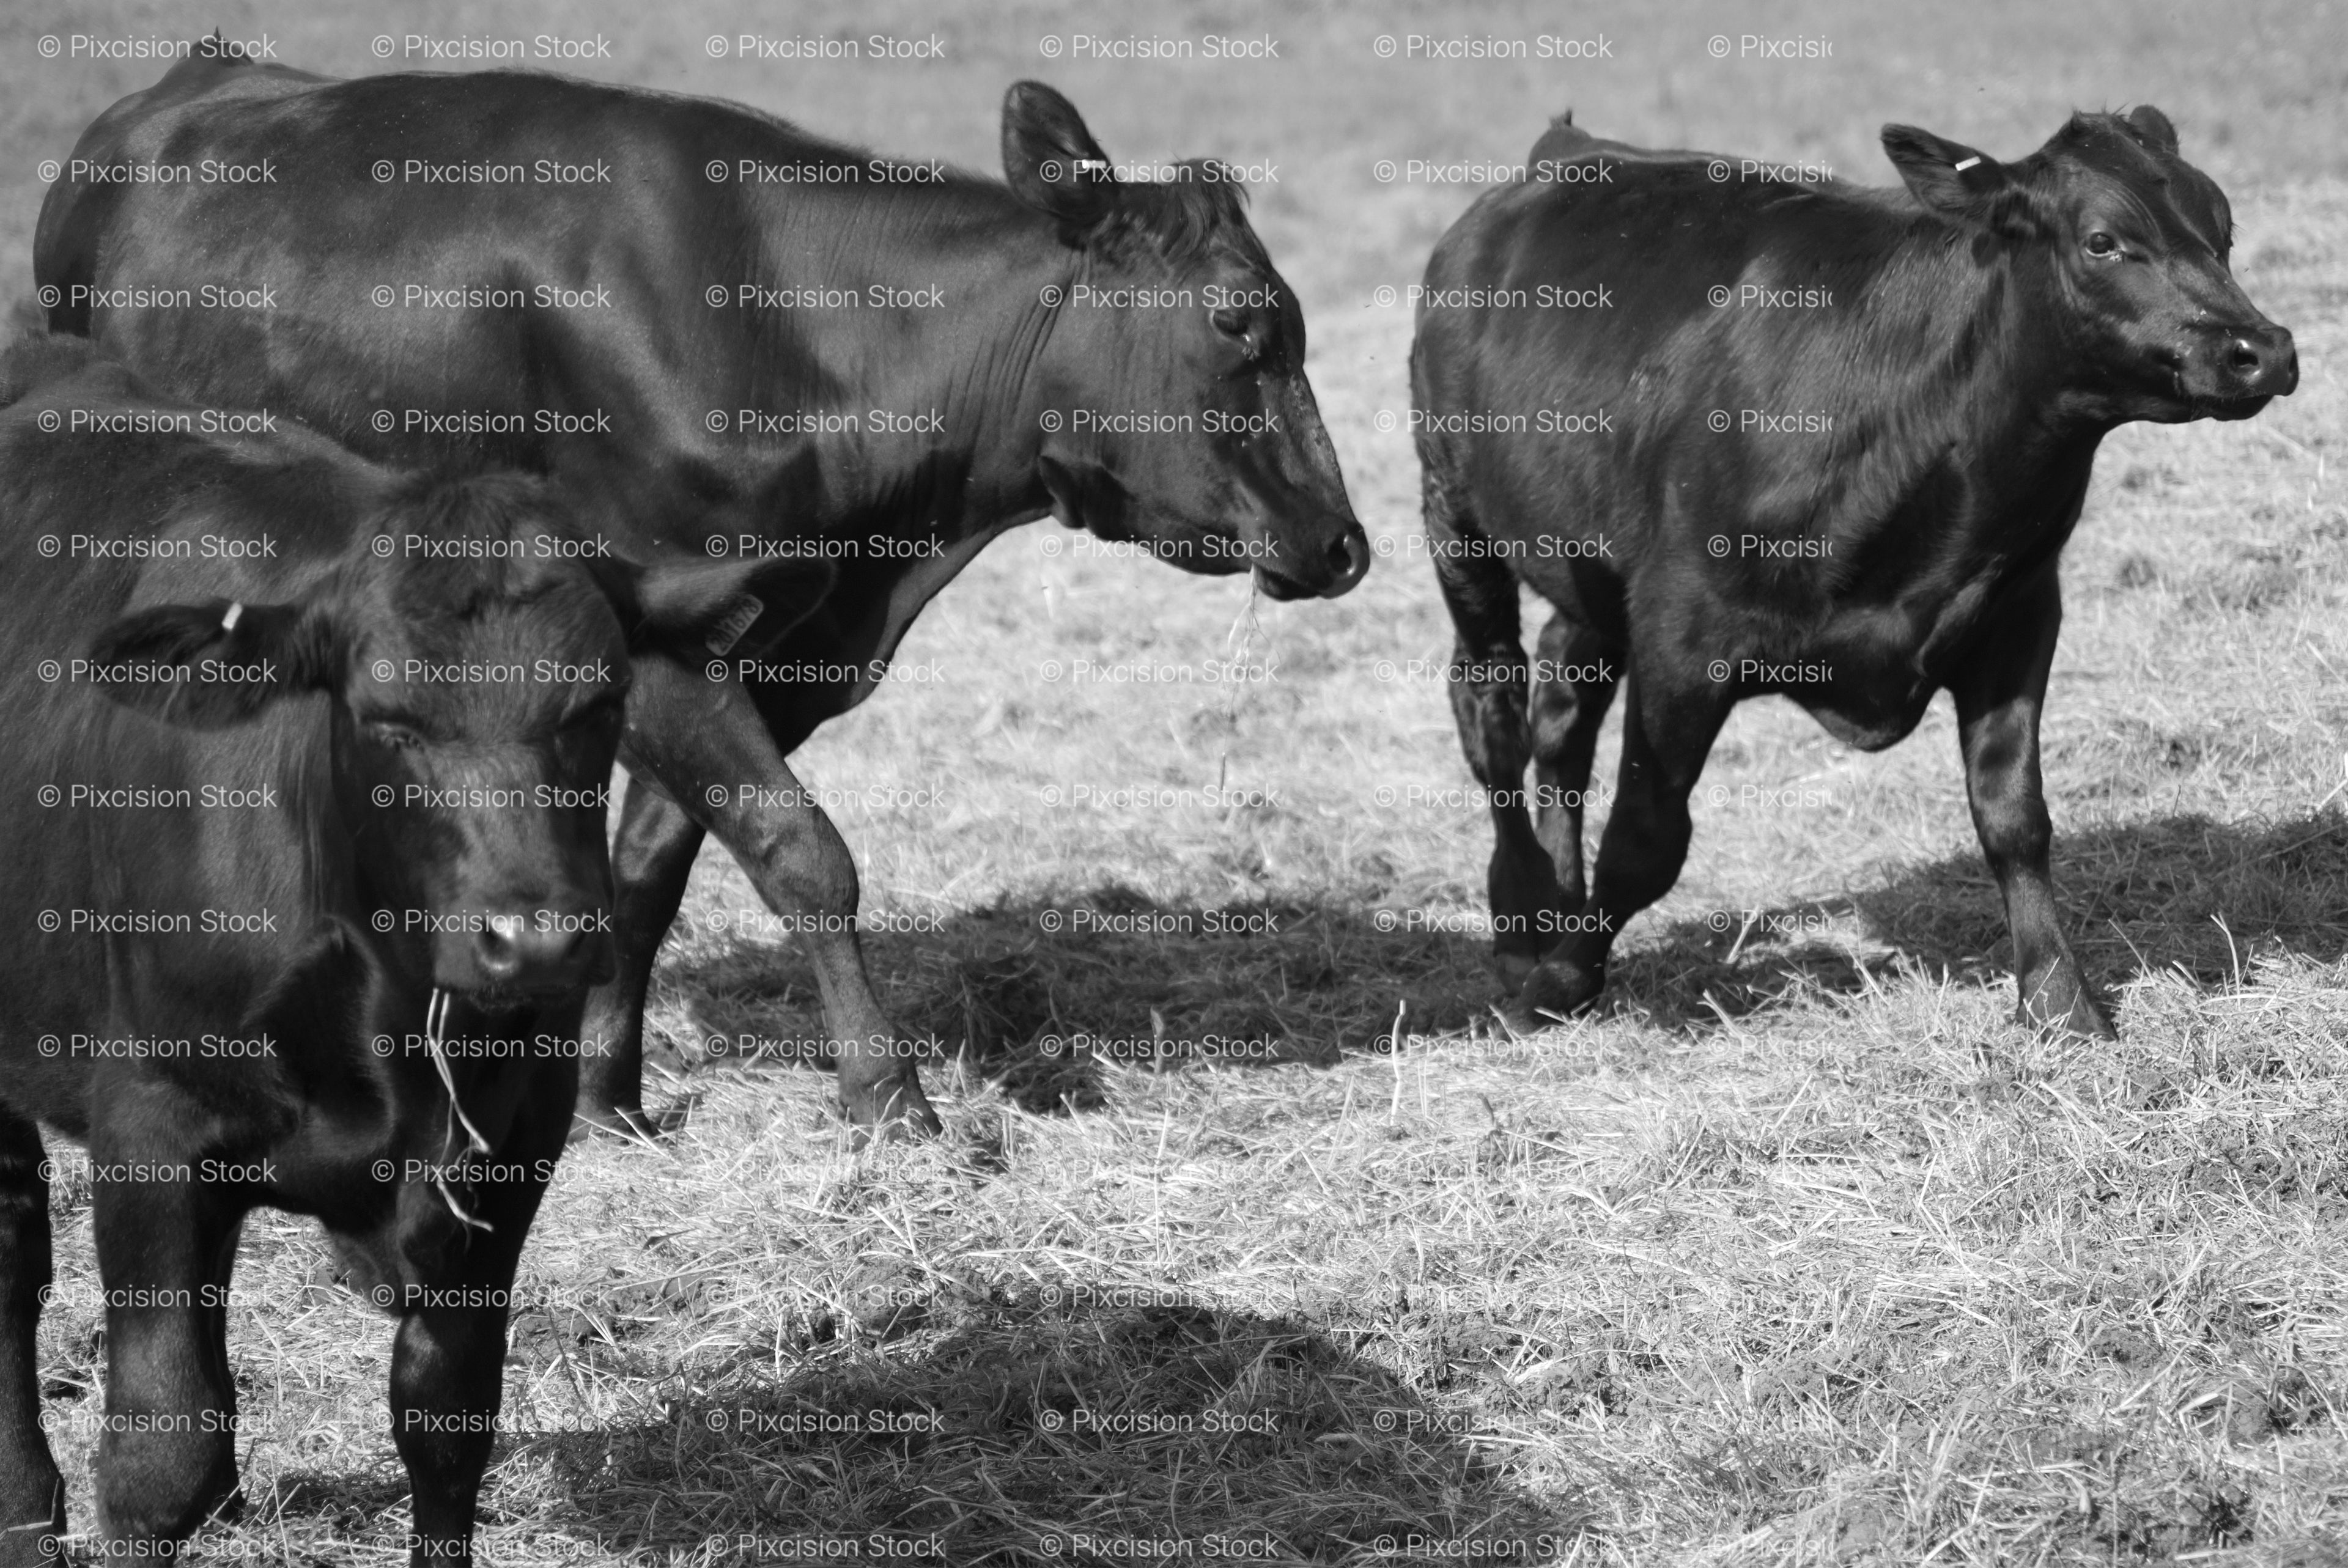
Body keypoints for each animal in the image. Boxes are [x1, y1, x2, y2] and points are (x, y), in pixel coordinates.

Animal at [0, 337, 831, 1564]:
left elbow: (445, 1422)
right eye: (385, 716)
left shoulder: (511, 1147)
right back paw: (24, 1504)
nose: (534, 941)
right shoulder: (148, 1117)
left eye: (602, 701)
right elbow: (159, 1453)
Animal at [36, 55, 1370, 1141]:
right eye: (1241, 321)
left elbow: (644, 875)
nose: (1345, 543)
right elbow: (802, 852)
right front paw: (889, 1099)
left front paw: (602, 1095)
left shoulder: (754, 651)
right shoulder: (663, 648)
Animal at [1410, 108, 2296, 1035]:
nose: (2262, 349)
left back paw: (1555, 898)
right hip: (1454, 514)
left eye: (2224, 229)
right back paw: (1521, 924)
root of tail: (1567, 151)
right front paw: (1562, 982)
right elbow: (1647, 841)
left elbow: (2013, 815)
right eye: (2102, 240)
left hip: (1588, 560)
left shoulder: (2018, 613)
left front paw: (2060, 1000)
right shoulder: (1683, 635)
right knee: (1492, 703)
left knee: (1562, 703)